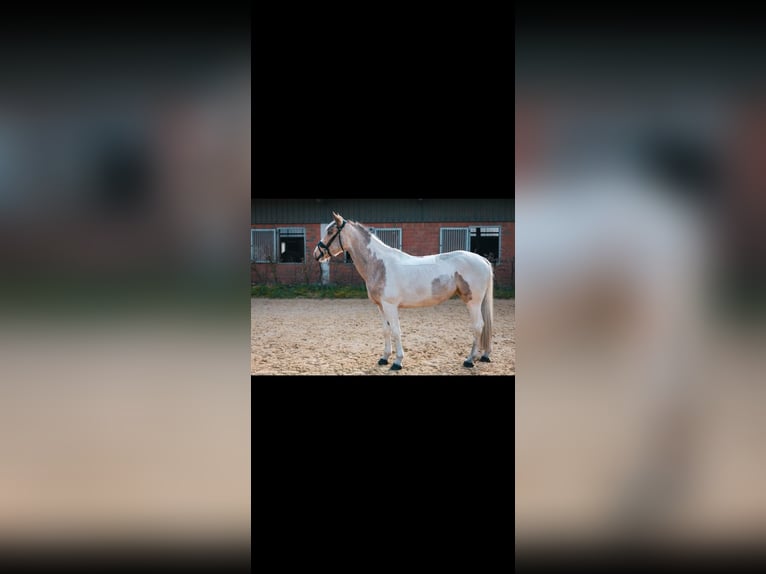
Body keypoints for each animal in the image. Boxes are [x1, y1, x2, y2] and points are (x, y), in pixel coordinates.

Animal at [314, 214, 498, 372]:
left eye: (330, 232)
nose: (317, 254)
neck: (380, 265)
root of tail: (482, 259)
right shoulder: (381, 307)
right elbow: (386, 330)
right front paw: (384, 358)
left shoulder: (390, 306)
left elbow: (396, 330)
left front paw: (397, 362)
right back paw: (484, 355)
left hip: (473, 302)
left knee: (478, 326)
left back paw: (469, 360)